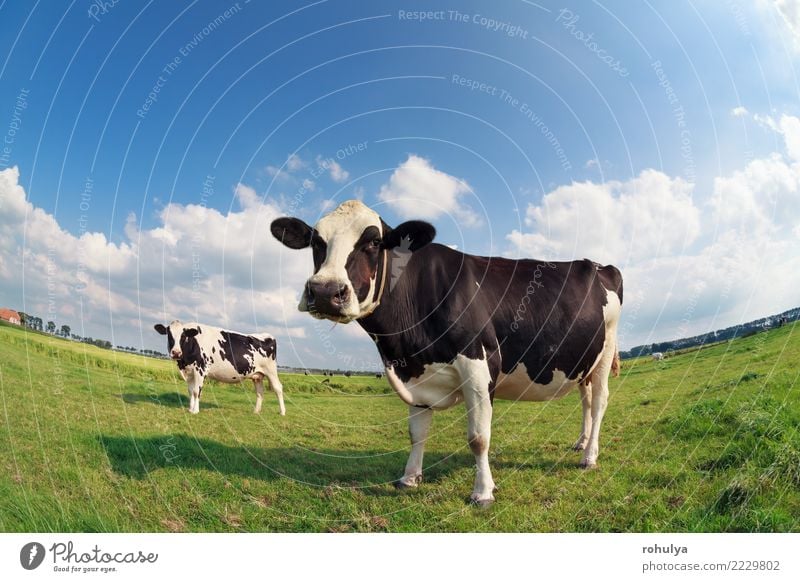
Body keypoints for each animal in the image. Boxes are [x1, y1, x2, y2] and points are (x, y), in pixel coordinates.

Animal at [152, 322, 284, 418]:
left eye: (183, 336)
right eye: (169, 335)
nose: (176, 352)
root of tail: (267, 336)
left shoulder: (200, 369)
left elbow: (196, 391)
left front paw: (195, 411)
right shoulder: (189, 372)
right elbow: (190, 391)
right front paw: (190, 409)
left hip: (271, 370)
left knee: (278, 388)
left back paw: (282, 412)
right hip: (257, 375)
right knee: (260, 392)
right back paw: (256, 411)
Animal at [272, 201, 620, 506]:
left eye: (373, 241)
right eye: (316, 241)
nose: (325, 291)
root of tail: (599, 265)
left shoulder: (478, 366)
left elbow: (478, 437)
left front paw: (483, 492)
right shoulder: (414, 371)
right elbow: (417, 433)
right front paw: (409, 479)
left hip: (605, 352)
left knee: (600, 401)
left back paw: (589, 456)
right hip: (583, 362)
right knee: (586, 400)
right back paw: (580, 443)